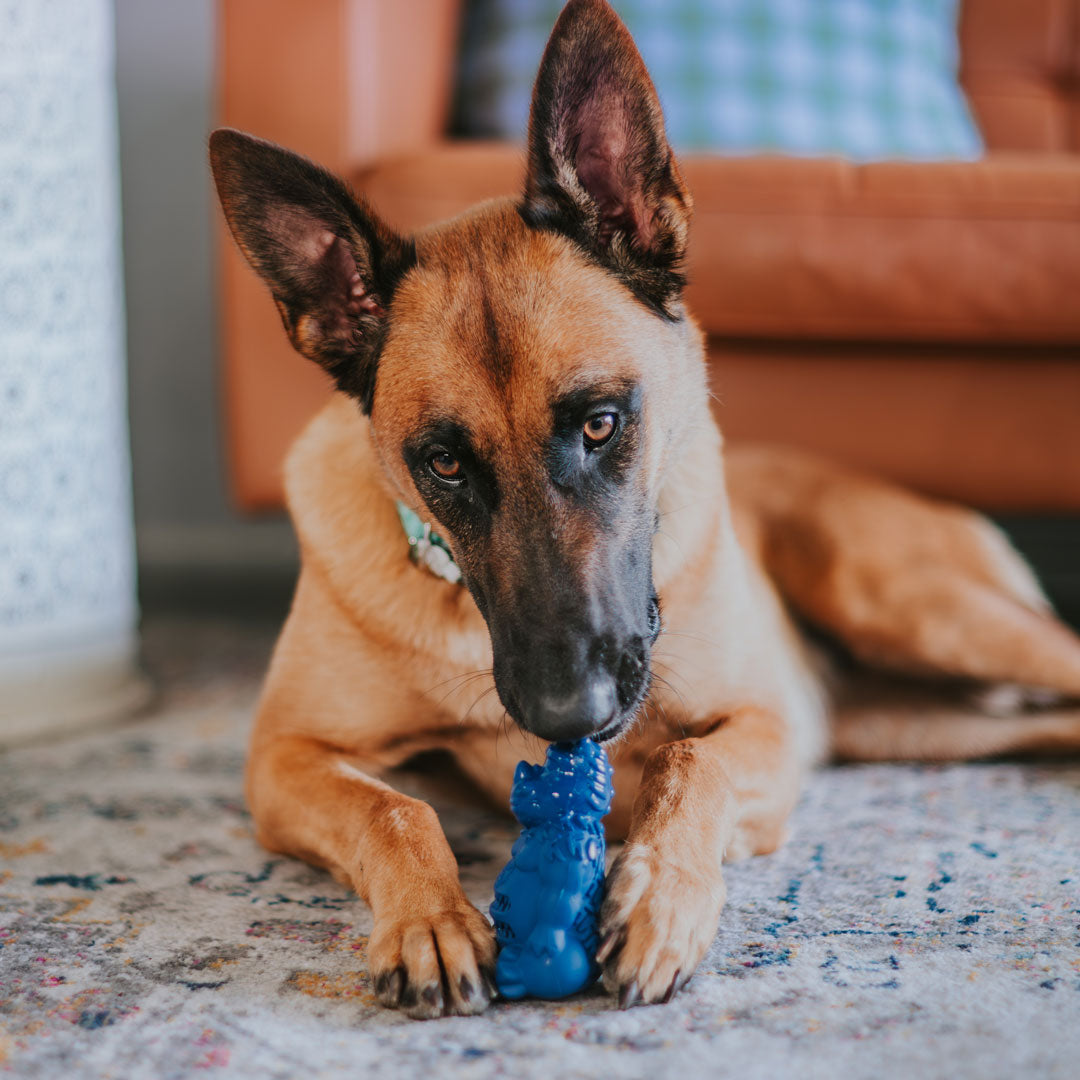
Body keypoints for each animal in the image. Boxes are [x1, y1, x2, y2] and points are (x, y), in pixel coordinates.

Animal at [209, 0, 1080, 1020]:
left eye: (601, 423)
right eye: (443, 464)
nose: (567, 715)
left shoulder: (766, 724)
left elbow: (685, 762)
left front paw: (661, 896)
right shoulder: (284, 756)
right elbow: (395, 806)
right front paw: (429, 917)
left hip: (912, 607)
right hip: (928, 723)